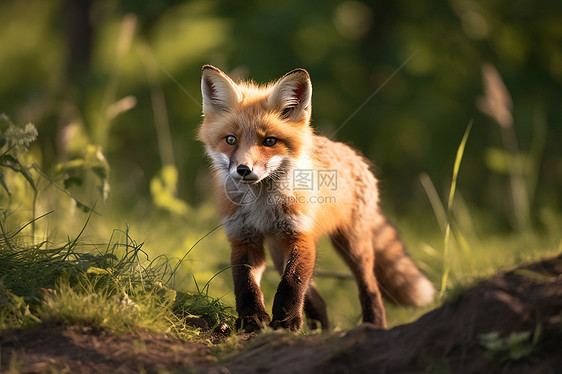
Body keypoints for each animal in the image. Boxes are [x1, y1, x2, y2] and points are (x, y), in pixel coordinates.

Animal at [197, 65, 434, 332]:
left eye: (269, 141)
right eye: (231, 139)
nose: (243, 170)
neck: (262, 205)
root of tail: (351, 152)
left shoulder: (301, 235)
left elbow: (291, 283)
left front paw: (286, 322)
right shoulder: (243, 237)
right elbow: (246, 284)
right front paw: (253, 319)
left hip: (353, 246)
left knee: (370, 288)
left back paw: (373, 324)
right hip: (278, 251)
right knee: (317, 299)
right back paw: (319, 330)